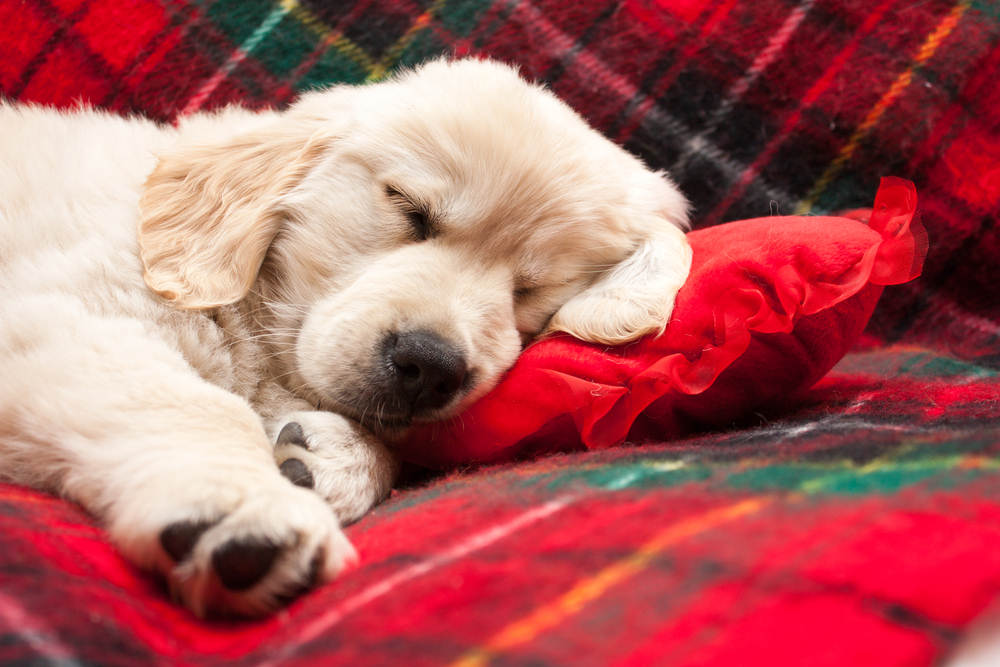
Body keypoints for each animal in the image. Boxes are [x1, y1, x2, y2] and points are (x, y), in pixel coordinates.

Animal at [0, 57, 688, 616]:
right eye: (409, 209)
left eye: (532, 288)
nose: (430, 367)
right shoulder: (65, 314)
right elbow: (193, 403)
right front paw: (245, 506)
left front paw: (326, 458)